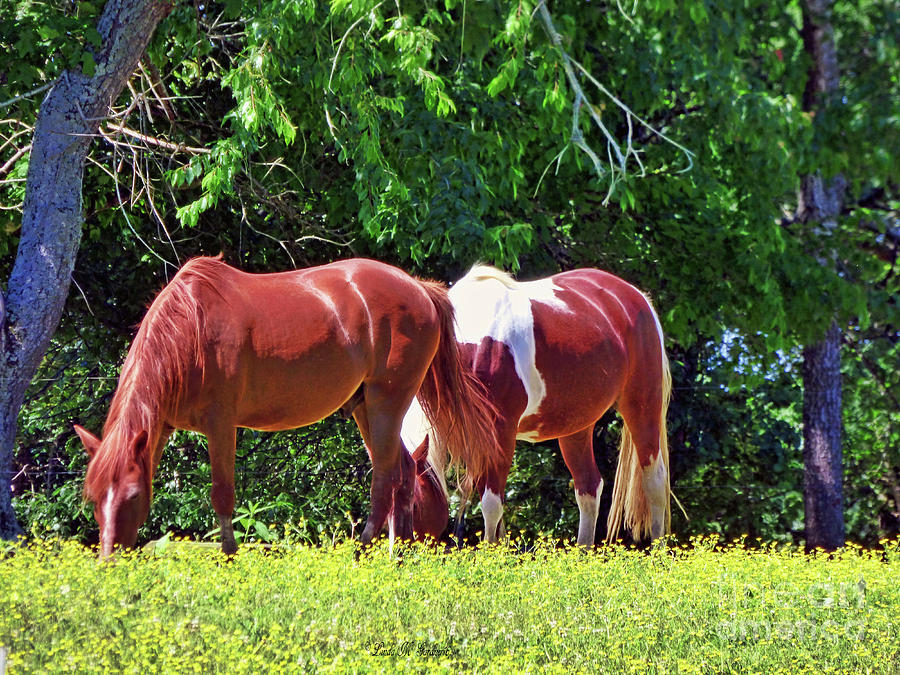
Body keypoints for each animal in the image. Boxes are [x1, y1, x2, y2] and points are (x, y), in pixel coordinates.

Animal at [75, 256, 500, 556]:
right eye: (93, 497)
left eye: (132, 496)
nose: (110, 561)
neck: (190, 330)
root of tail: (419, 288)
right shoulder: (160, 427)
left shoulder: (221, 424)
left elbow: (222, 494)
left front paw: (230, 559)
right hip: (365, 407)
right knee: (405, 471)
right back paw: (399, 557)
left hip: (387, 402)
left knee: (384, 476)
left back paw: (361, 552)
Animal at [404, 266, 672, 548]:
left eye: (413, 504)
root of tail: (636, 296)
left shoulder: (501, 433)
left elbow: (491, 506)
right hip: (576, 426)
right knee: (589, 487)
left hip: (642, 406)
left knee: (654, 480)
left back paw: (658, 551)